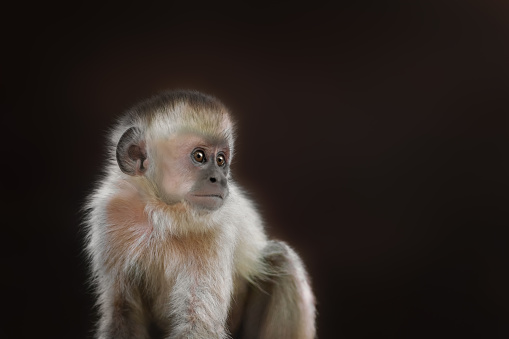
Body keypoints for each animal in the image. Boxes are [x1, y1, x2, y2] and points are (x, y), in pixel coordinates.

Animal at [83, 90, 314, 339]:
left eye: (221, 160)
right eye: (200, 156)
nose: (220, 179)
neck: (160, 213)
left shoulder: (216, 229)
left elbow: (199, 323)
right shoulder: (111, 213)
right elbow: (122, 312)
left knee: (281, 258)